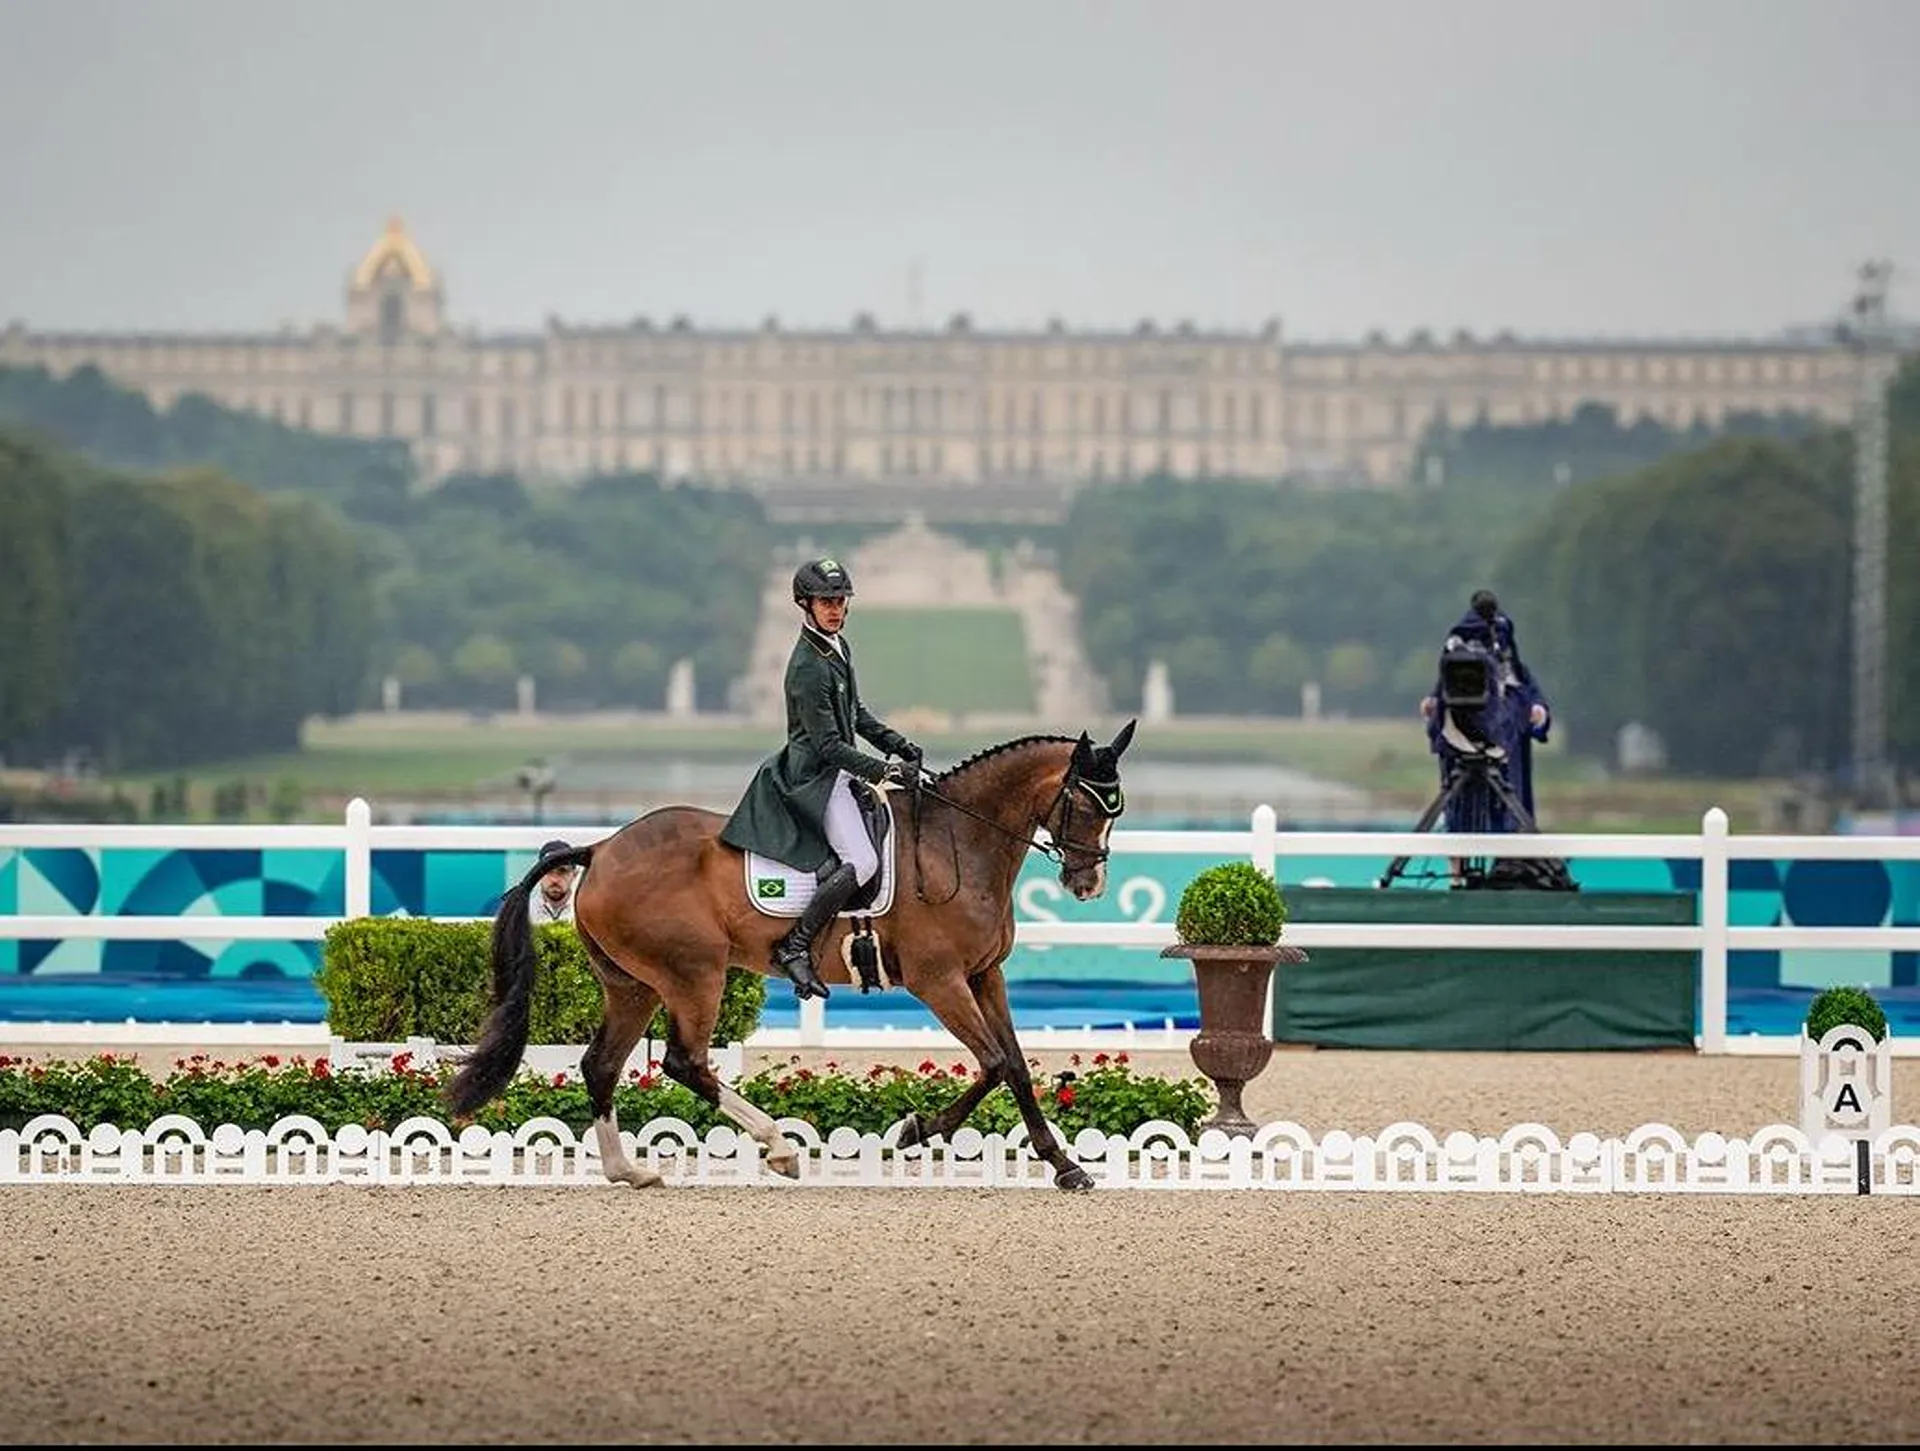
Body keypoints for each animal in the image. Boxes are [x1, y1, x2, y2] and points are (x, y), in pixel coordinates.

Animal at [444, 720, 1138, 1192]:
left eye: (1116, 808)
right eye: (1085, 802)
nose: (1088, 884)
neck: (958, 844)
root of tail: (602, 848)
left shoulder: (984, 975)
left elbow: (1016, 1066)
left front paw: (1065, 1165)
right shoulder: (939, 980)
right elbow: (992, 1063)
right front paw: (914, 1130)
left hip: (633, 985)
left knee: (601, 1065)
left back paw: (628, 1170)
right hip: (694, 974)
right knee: (684, 1062)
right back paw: (777, 1145)